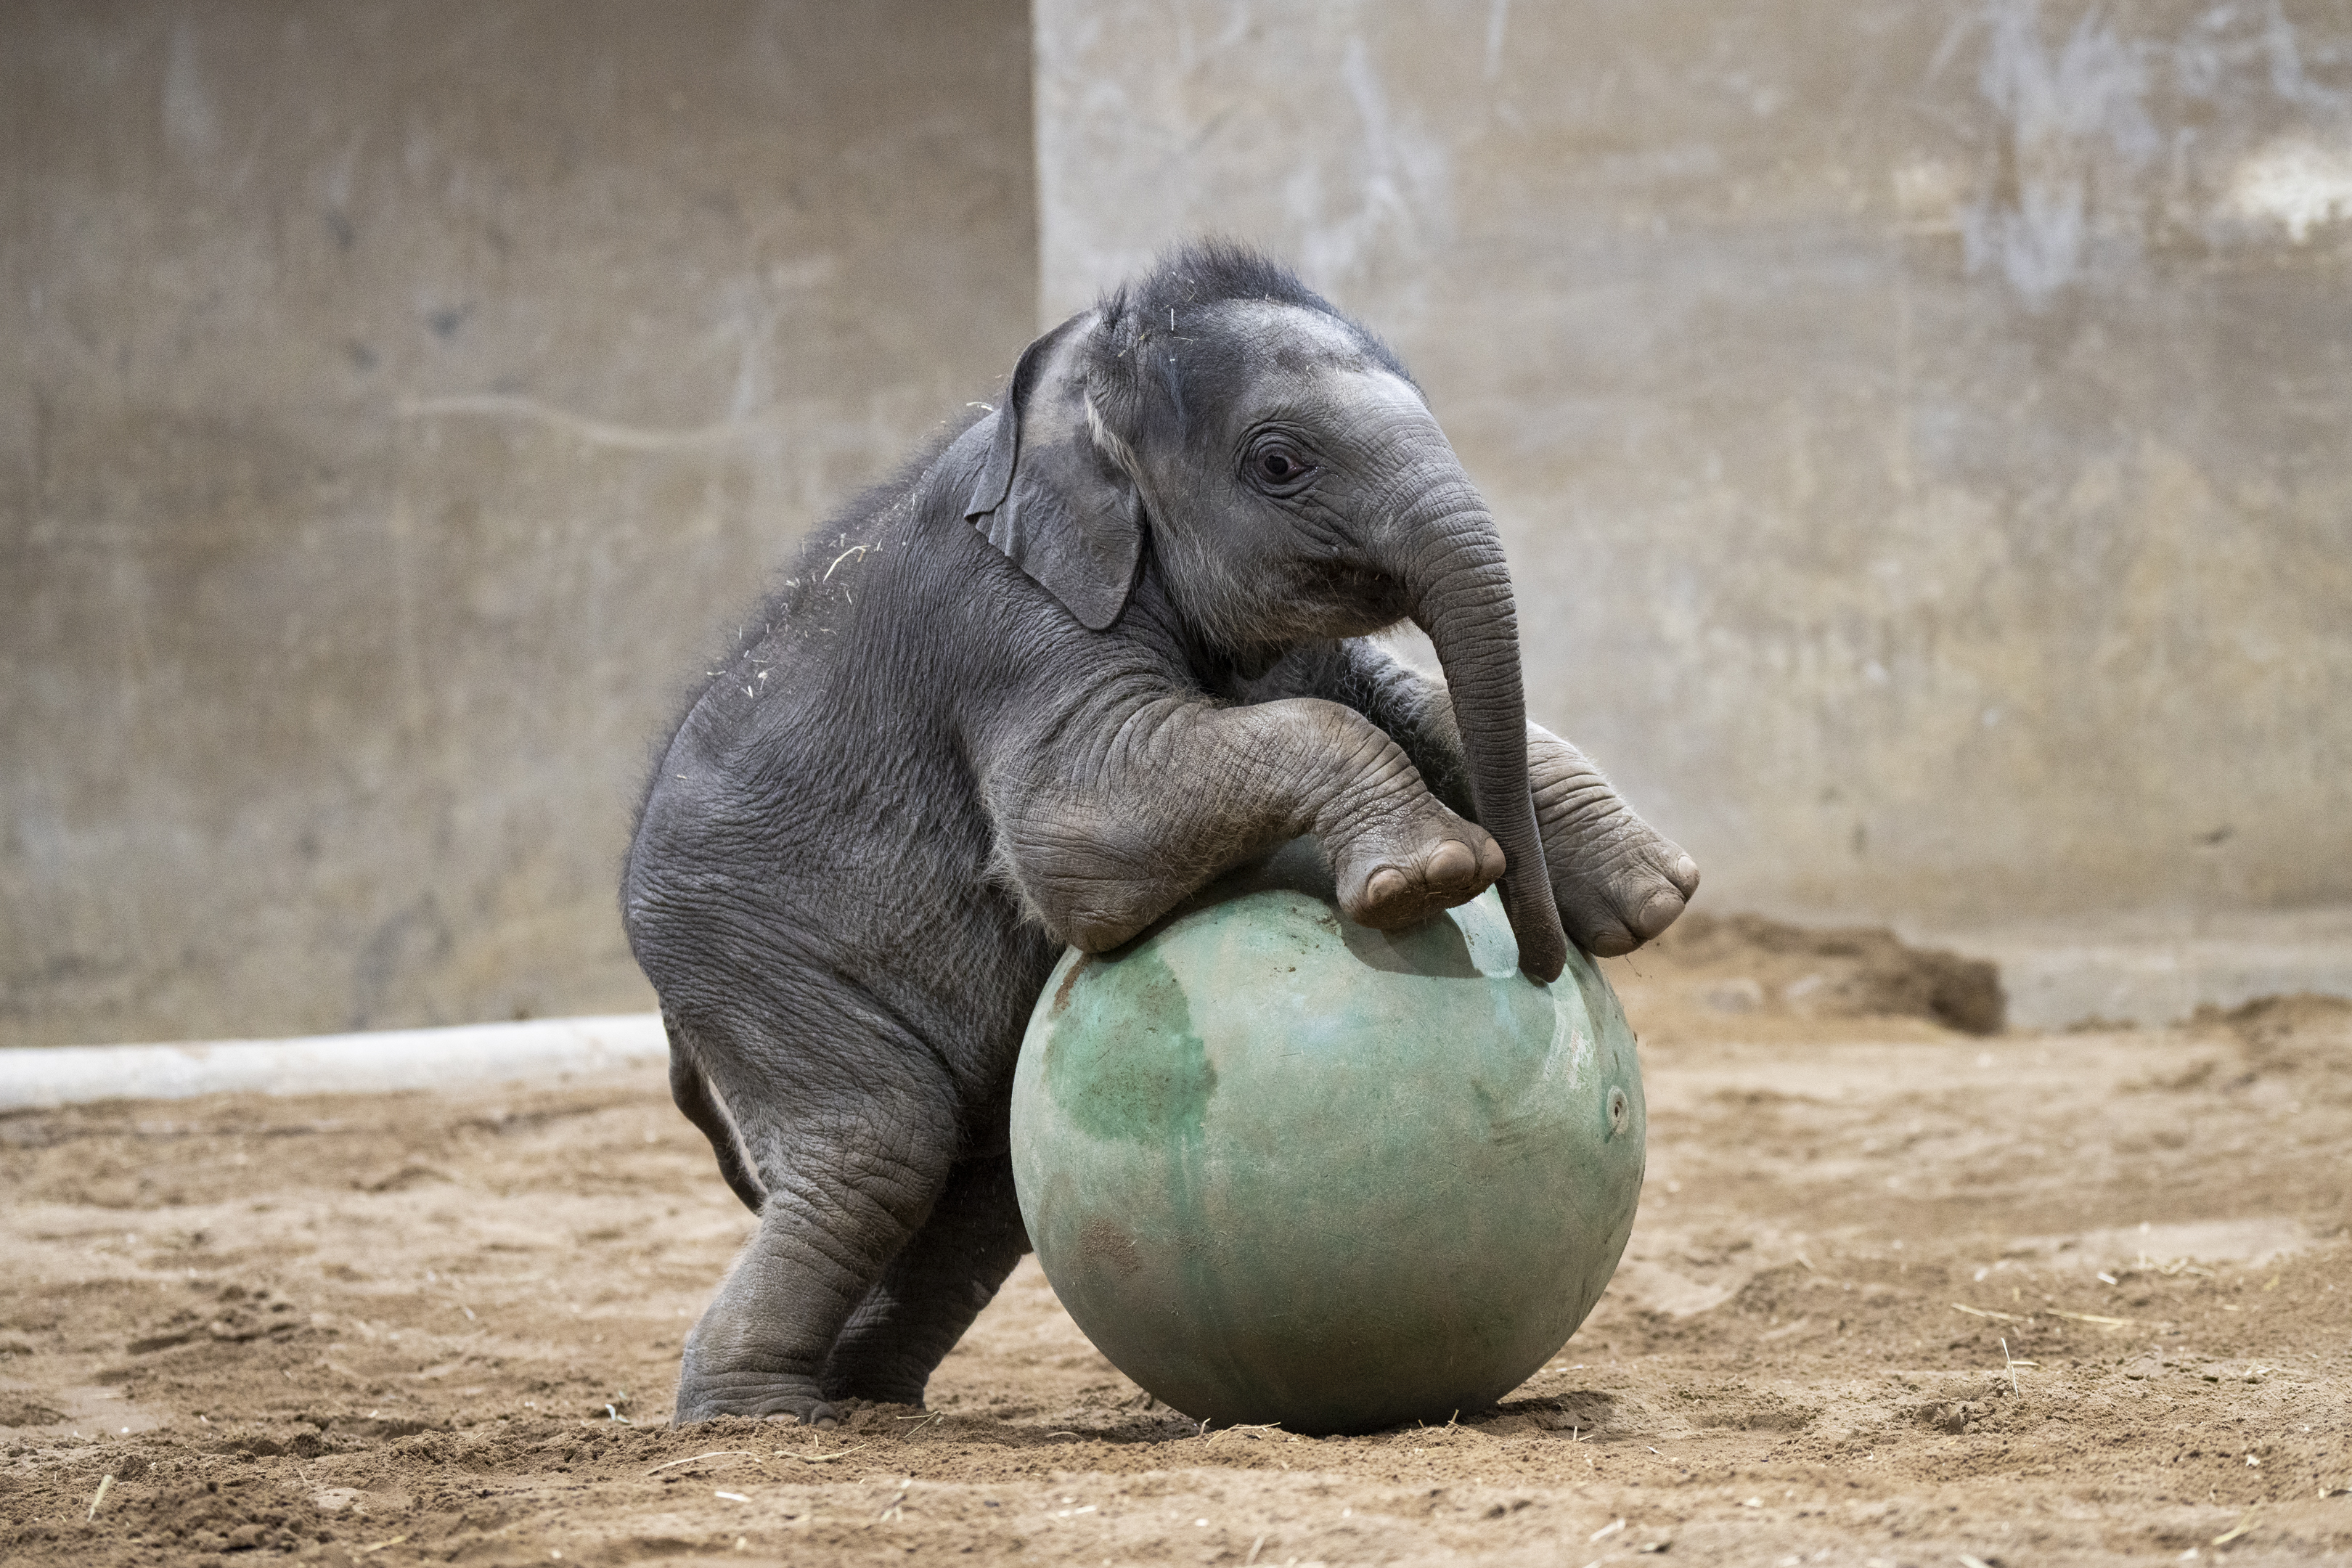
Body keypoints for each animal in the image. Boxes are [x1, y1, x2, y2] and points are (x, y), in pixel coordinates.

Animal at [622, 243, 1697, 1426]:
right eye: (1279, 462)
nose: (1544, 958)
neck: (1074, 387)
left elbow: (1397, 697)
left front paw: (1651, 895)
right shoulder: (1005, 616)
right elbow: (1077, 830)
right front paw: (1430, 875)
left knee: (979, 1193)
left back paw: (869, 1398)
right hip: (744, 958)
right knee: (877, 1144)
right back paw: (761, 1414)